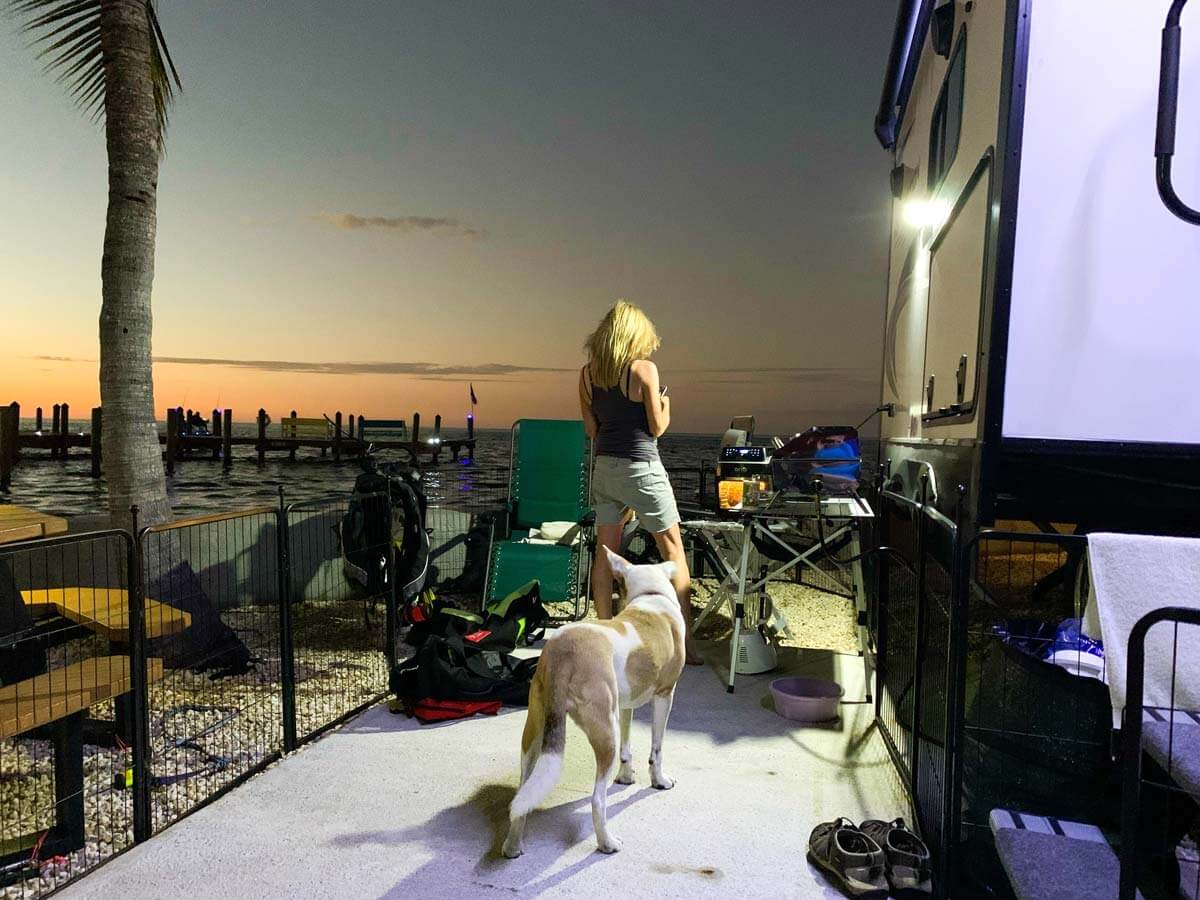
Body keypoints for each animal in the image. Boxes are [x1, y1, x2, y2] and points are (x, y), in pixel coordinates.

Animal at [499, 547, 686, 854]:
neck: (651, 594)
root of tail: (562, 652)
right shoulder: (664, 696)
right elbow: (656, 750)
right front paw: (659, 781)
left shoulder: (625, 706)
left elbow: (628, 747)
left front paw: (626, 776)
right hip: (604, 731)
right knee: (598, 800)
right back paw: (608, 843)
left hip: (535, 732)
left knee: (522, 793)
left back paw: (513, 846)